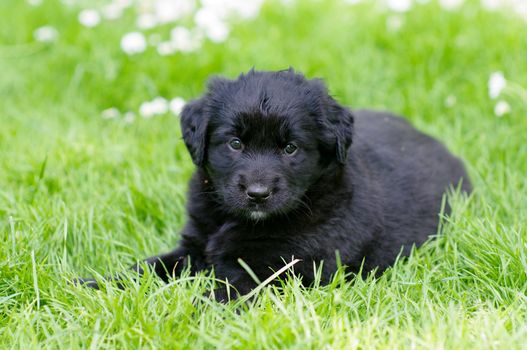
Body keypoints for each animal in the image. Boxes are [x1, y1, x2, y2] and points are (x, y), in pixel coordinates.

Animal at [79, 69, 474, 300]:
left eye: (290, 148)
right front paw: (90, 285)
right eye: (235, 143)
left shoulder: (281, 270)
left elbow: (222, 295)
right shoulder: (194, 246)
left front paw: (191, 317)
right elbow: (146, 269)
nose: (257, 194)